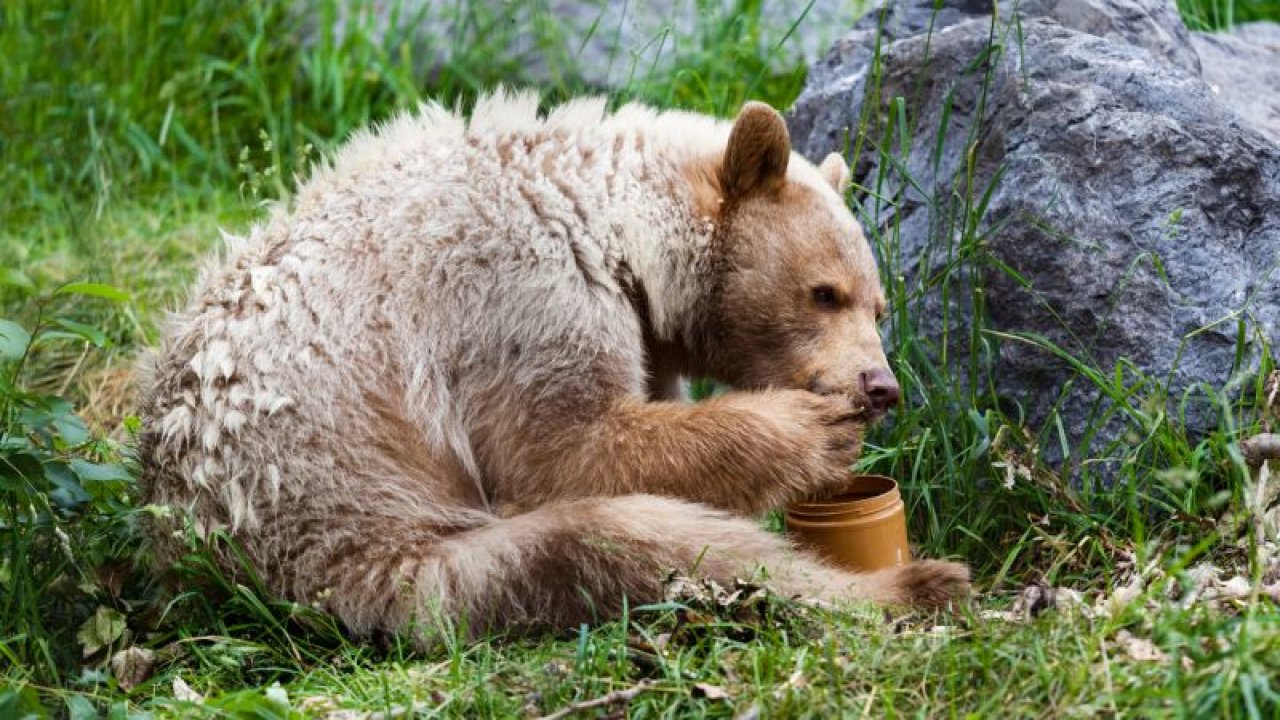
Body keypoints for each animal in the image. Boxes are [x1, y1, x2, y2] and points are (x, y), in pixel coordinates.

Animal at [140, 90, 962, 638]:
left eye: (879, 306)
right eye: (825, 292)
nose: (879, 386)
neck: (609, 224)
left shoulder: (638, 334)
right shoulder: (517, 295)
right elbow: (567, 449)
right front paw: (811, 430)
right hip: (370, 535)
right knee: (624, 545)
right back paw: (912, 585)